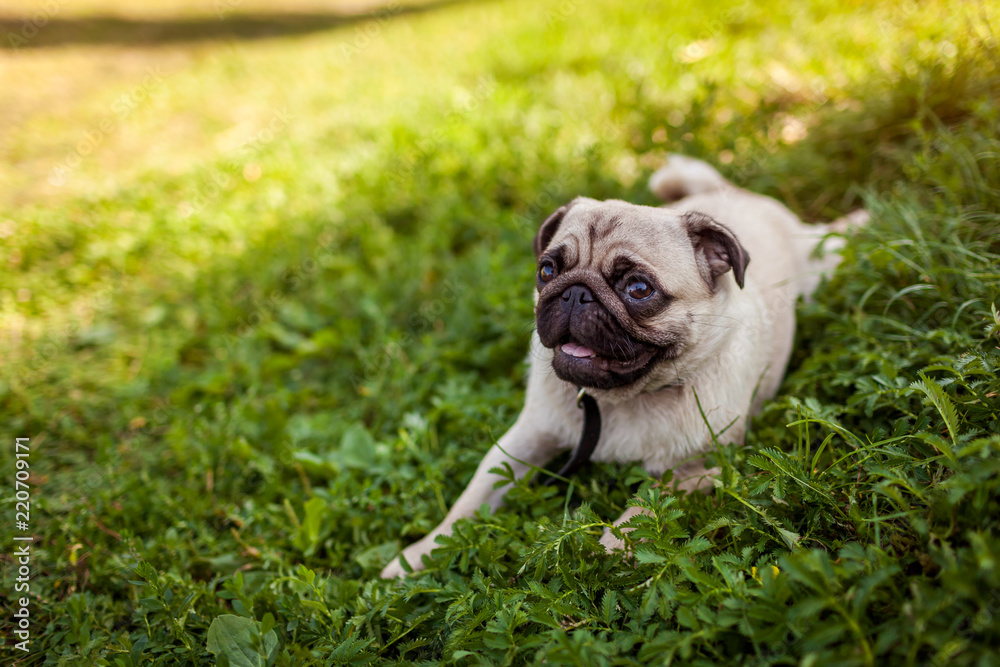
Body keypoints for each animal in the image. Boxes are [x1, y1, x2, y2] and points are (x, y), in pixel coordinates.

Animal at [378, 153, 864, 580]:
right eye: (547, 270)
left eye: (638, 288)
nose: (575, 292)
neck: (621, 401)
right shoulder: (525, 439)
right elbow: (470, 501)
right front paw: (421, 554)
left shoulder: (700, 467)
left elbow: (644, 504)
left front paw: (607, 549)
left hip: (820, 266)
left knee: (830, 239)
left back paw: (860, 221)